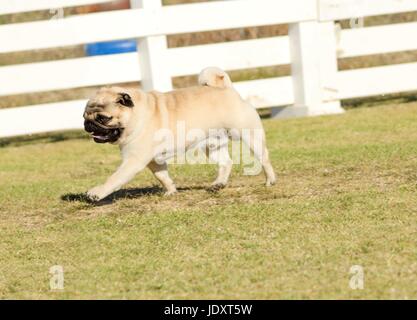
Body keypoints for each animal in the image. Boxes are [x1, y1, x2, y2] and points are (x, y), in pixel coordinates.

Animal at [82, 67, 274, 202]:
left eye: (103, 118)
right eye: (84, 116)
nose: (88, 125)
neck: (138, 116)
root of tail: (226, 89)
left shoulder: (133, 161)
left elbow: (115, 178)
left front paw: (97, 193)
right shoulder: (154, 161)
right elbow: (162, 177)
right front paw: (172, 190)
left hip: (250, 136)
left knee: (264, 158)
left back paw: (270, 181)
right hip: (212, 145)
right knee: (225, 162)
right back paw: (218, 184)